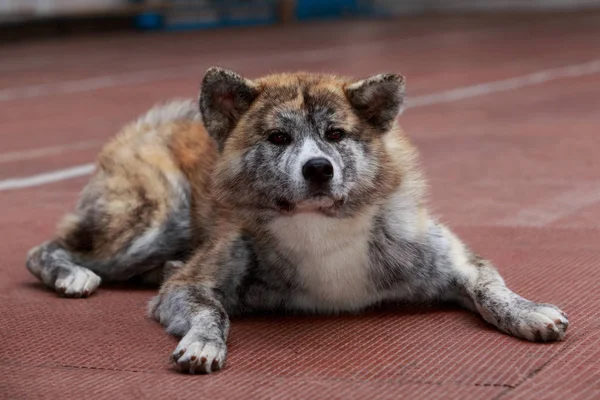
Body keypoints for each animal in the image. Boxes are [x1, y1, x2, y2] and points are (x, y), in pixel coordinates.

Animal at [25, 67, 568, 374]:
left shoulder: (454, 260)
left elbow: (491, 289)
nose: (318, 168)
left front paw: (528, 312)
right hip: (157, 221)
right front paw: (203, 343)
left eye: (336, 134)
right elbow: (211, 311)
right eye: (278, 138)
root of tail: (149, 125)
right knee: (44, 250)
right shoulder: (188, 287)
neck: (321, 228)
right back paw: (73, 275)